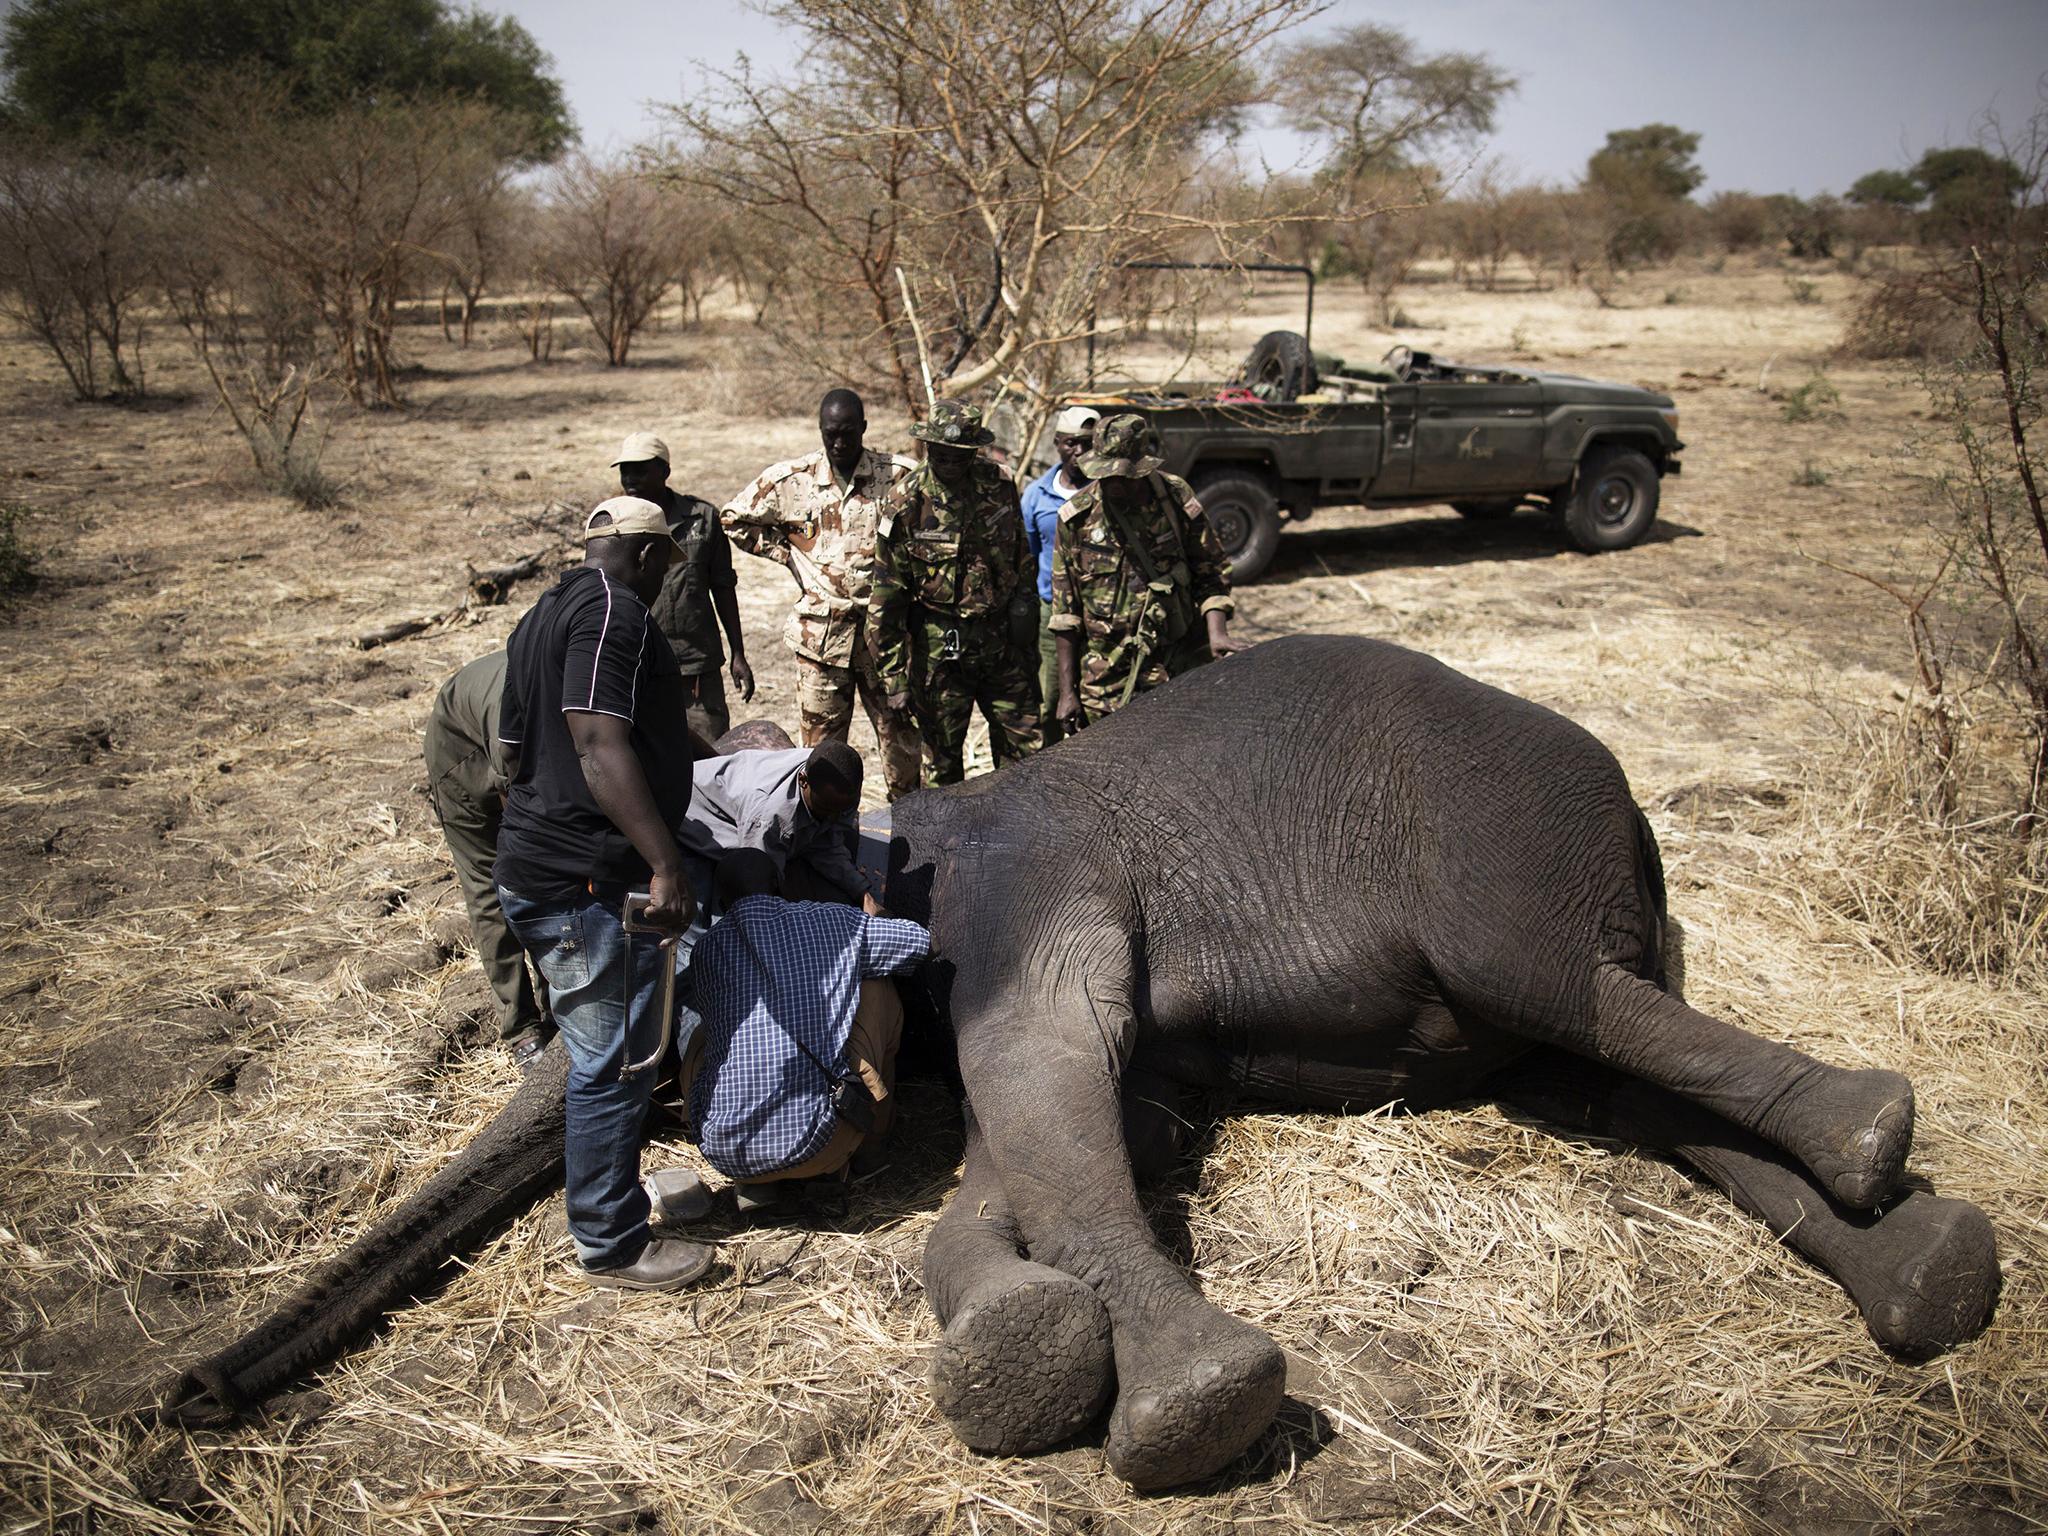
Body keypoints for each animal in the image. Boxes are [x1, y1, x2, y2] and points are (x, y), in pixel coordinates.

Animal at [163, 634, 1998, 1490]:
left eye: (667, 951)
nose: (185, 1400)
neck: (888, 835)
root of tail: (1638, 823)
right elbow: (1043, 1141)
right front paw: (1023, 1359)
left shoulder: (1017, 894)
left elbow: (1050, 1084)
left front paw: (1186, 1411)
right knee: (1610, 1085)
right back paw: (1932, 1274)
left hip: (1504, 858)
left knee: (1575, 1000)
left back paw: (1876, 1136)